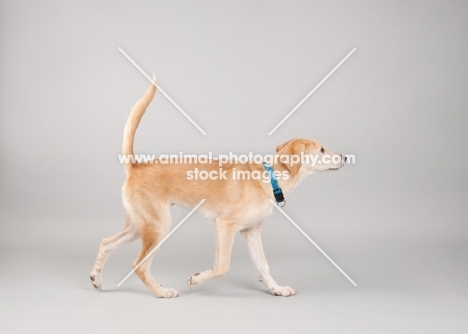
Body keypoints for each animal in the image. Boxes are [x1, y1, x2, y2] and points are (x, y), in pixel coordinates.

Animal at [89, 79, 346, 298]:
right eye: (322, 150)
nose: (344, 157)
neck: (269, 176)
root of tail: (136, 166)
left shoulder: (251, 232)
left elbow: (263, 266)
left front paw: (277, 289)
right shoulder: (225, 226)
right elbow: (222, 266)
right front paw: (196, 279)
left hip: (140, 225)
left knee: (106, 242)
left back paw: (97, 278)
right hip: (158, 226)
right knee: (139, 265)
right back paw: (161, 292)